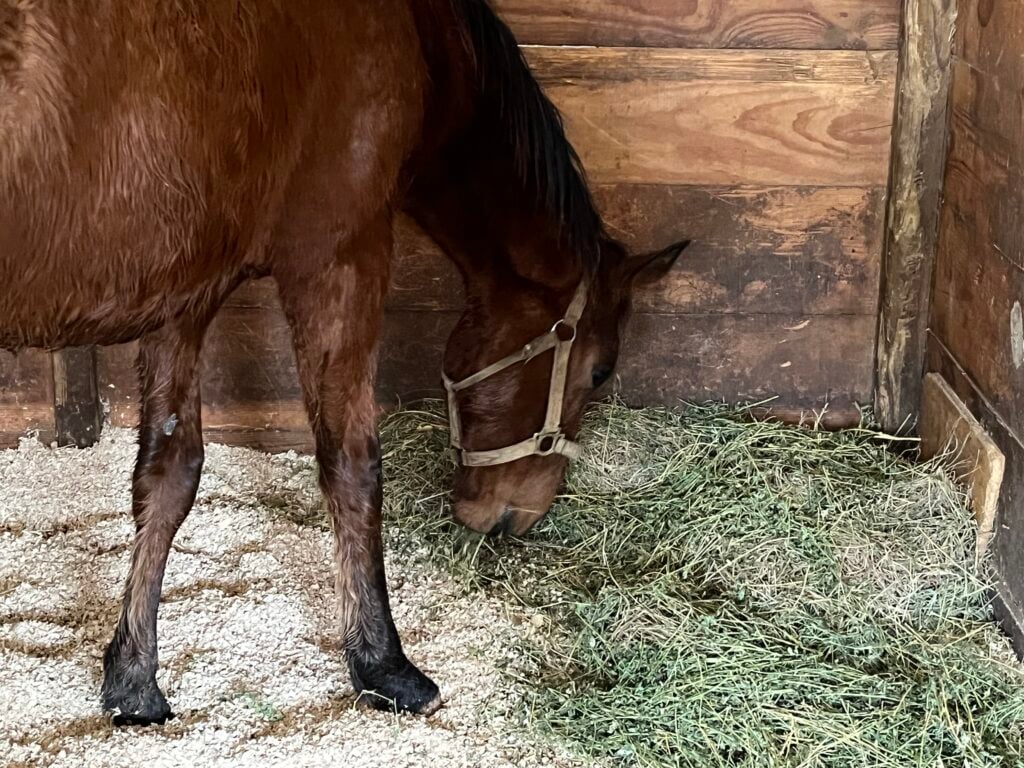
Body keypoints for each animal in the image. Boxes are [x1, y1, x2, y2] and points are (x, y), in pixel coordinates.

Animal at [2, 0, 688, 724]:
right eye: (600, 371)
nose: (511, 516)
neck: (422, 39)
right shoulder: (341, 260)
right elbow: (352, 467)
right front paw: (383, 663)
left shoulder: (182, 290)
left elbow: (167, 475)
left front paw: (134, 676)